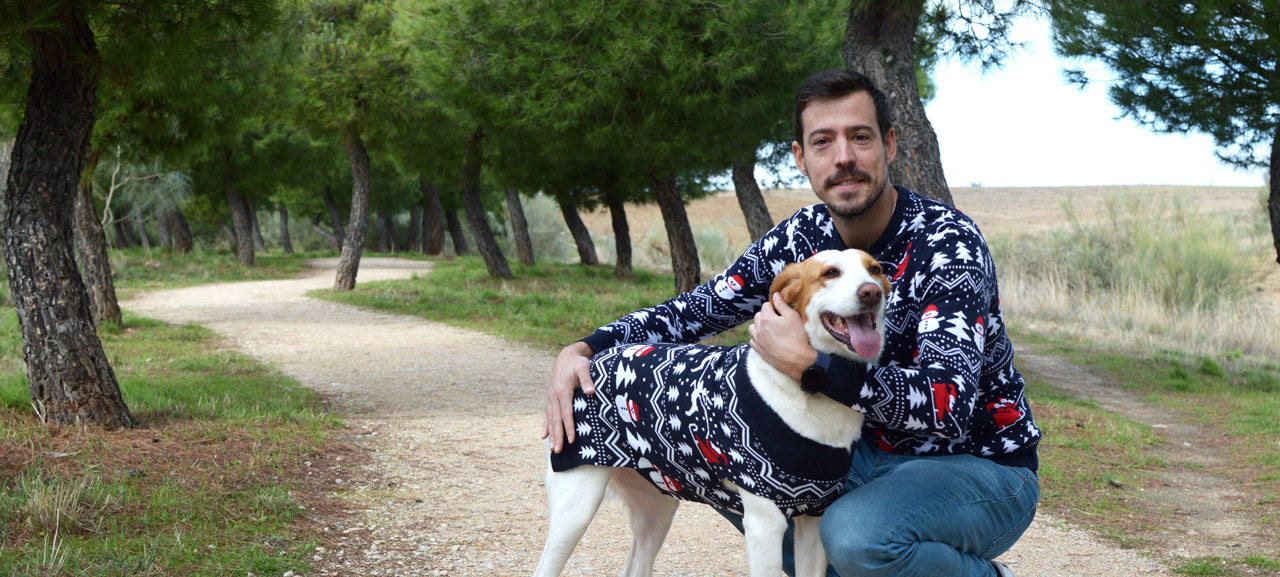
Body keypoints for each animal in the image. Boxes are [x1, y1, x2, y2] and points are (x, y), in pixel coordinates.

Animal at [535, 249, 885, 577]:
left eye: (876, 270)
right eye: (830, 273)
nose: (872, 292)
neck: (809, 392)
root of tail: (590, 362)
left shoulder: (814, 517)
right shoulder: (765, 523)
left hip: (656, 509)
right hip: (576, 507)